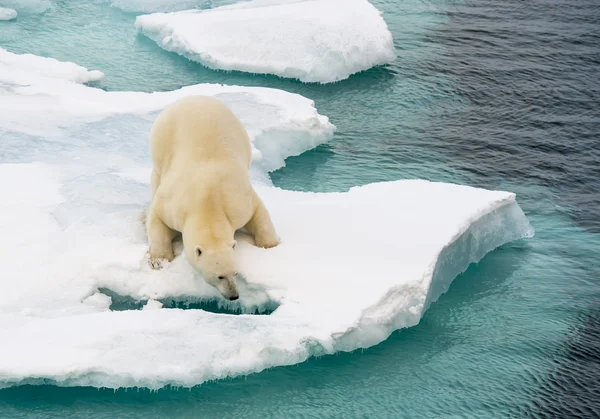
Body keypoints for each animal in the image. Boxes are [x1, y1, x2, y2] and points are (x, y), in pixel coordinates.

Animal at [146, 95, 280, 300]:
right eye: (219, 276)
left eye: (236, 273)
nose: (234, 295)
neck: (207, 202)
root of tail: (194, 97)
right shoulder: (173, 204)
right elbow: (157, 218)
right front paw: (159, 260)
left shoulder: (237, 201)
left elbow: (258, 213)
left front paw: (270, 247)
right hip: (161, 138)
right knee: (157, 174)